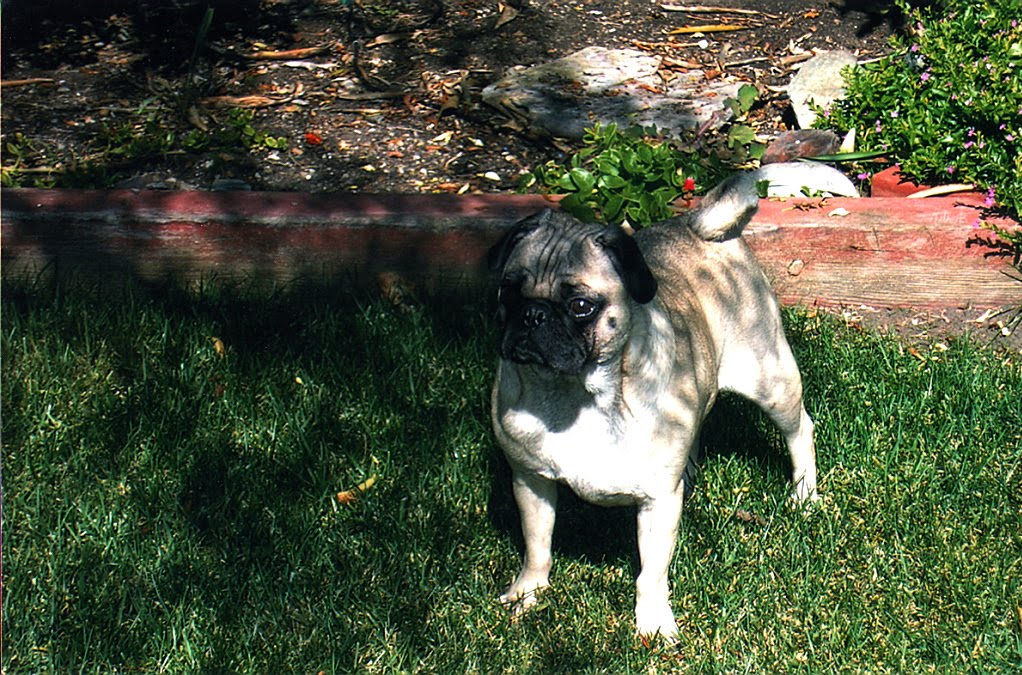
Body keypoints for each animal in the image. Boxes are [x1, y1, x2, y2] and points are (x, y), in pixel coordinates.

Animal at [488, 171, 818, 641]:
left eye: (581, 306)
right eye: (509, 292)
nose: (533, 314)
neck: (575, 396)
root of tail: (696, 224)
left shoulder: (657, 504)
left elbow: (651, 573)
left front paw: (654, 622)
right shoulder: (531, 482)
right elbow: (537, 546)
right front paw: (527, 592)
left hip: (770, 379)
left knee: (800, 431)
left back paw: (805, 494)